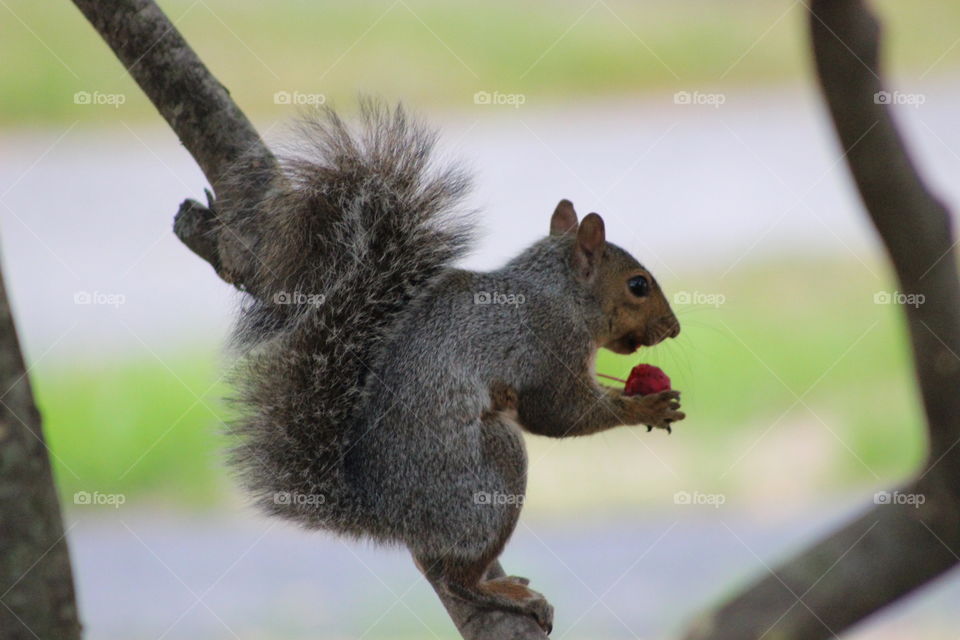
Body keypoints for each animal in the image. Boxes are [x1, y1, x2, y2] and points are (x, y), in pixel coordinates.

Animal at [222, 100, 684, 633]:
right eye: (637, 285)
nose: (674, 329)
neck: (560, 293)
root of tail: (387, 513)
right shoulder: (549, 345)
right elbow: (558, 414)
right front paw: (648, 406)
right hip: (491, 470)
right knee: (456, 579)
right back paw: (499, 591)